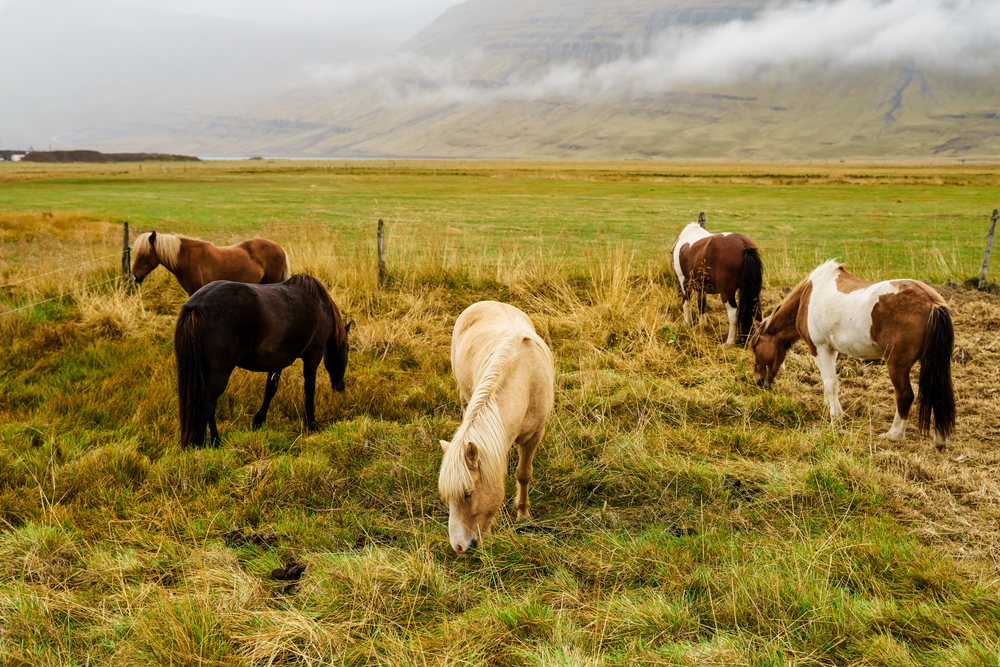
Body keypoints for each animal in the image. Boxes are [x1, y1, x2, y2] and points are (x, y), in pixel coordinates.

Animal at [173, 274, 350, 446]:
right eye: (347, 348)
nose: (340, 386)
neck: (321, 305)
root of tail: (197, 305)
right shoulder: (313, 355)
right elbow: (309, 389)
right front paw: (312, 424)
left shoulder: (278, 360)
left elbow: (270, 390)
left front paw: (258, 421)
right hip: (219, 374)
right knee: (208, 405)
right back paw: (215, 441)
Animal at [438, 301, 555, 555]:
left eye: (468, 493)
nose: (458, 546)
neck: (526, 382)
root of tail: (489, 302)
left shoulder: (535, 436)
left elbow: (524, 474)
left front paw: (523, 515)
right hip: (464, 396)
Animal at [752, 260, 955, 449]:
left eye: (755, 347)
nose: (758, 382)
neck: (808, 296)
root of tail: (932, 302)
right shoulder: (832, 350)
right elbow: (832, 383)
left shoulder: (820, 348)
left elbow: (830, 383)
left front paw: (835, 417)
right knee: (938, 395)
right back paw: (939, 439)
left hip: (897, 365)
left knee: (905, 395)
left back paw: (894, 435)